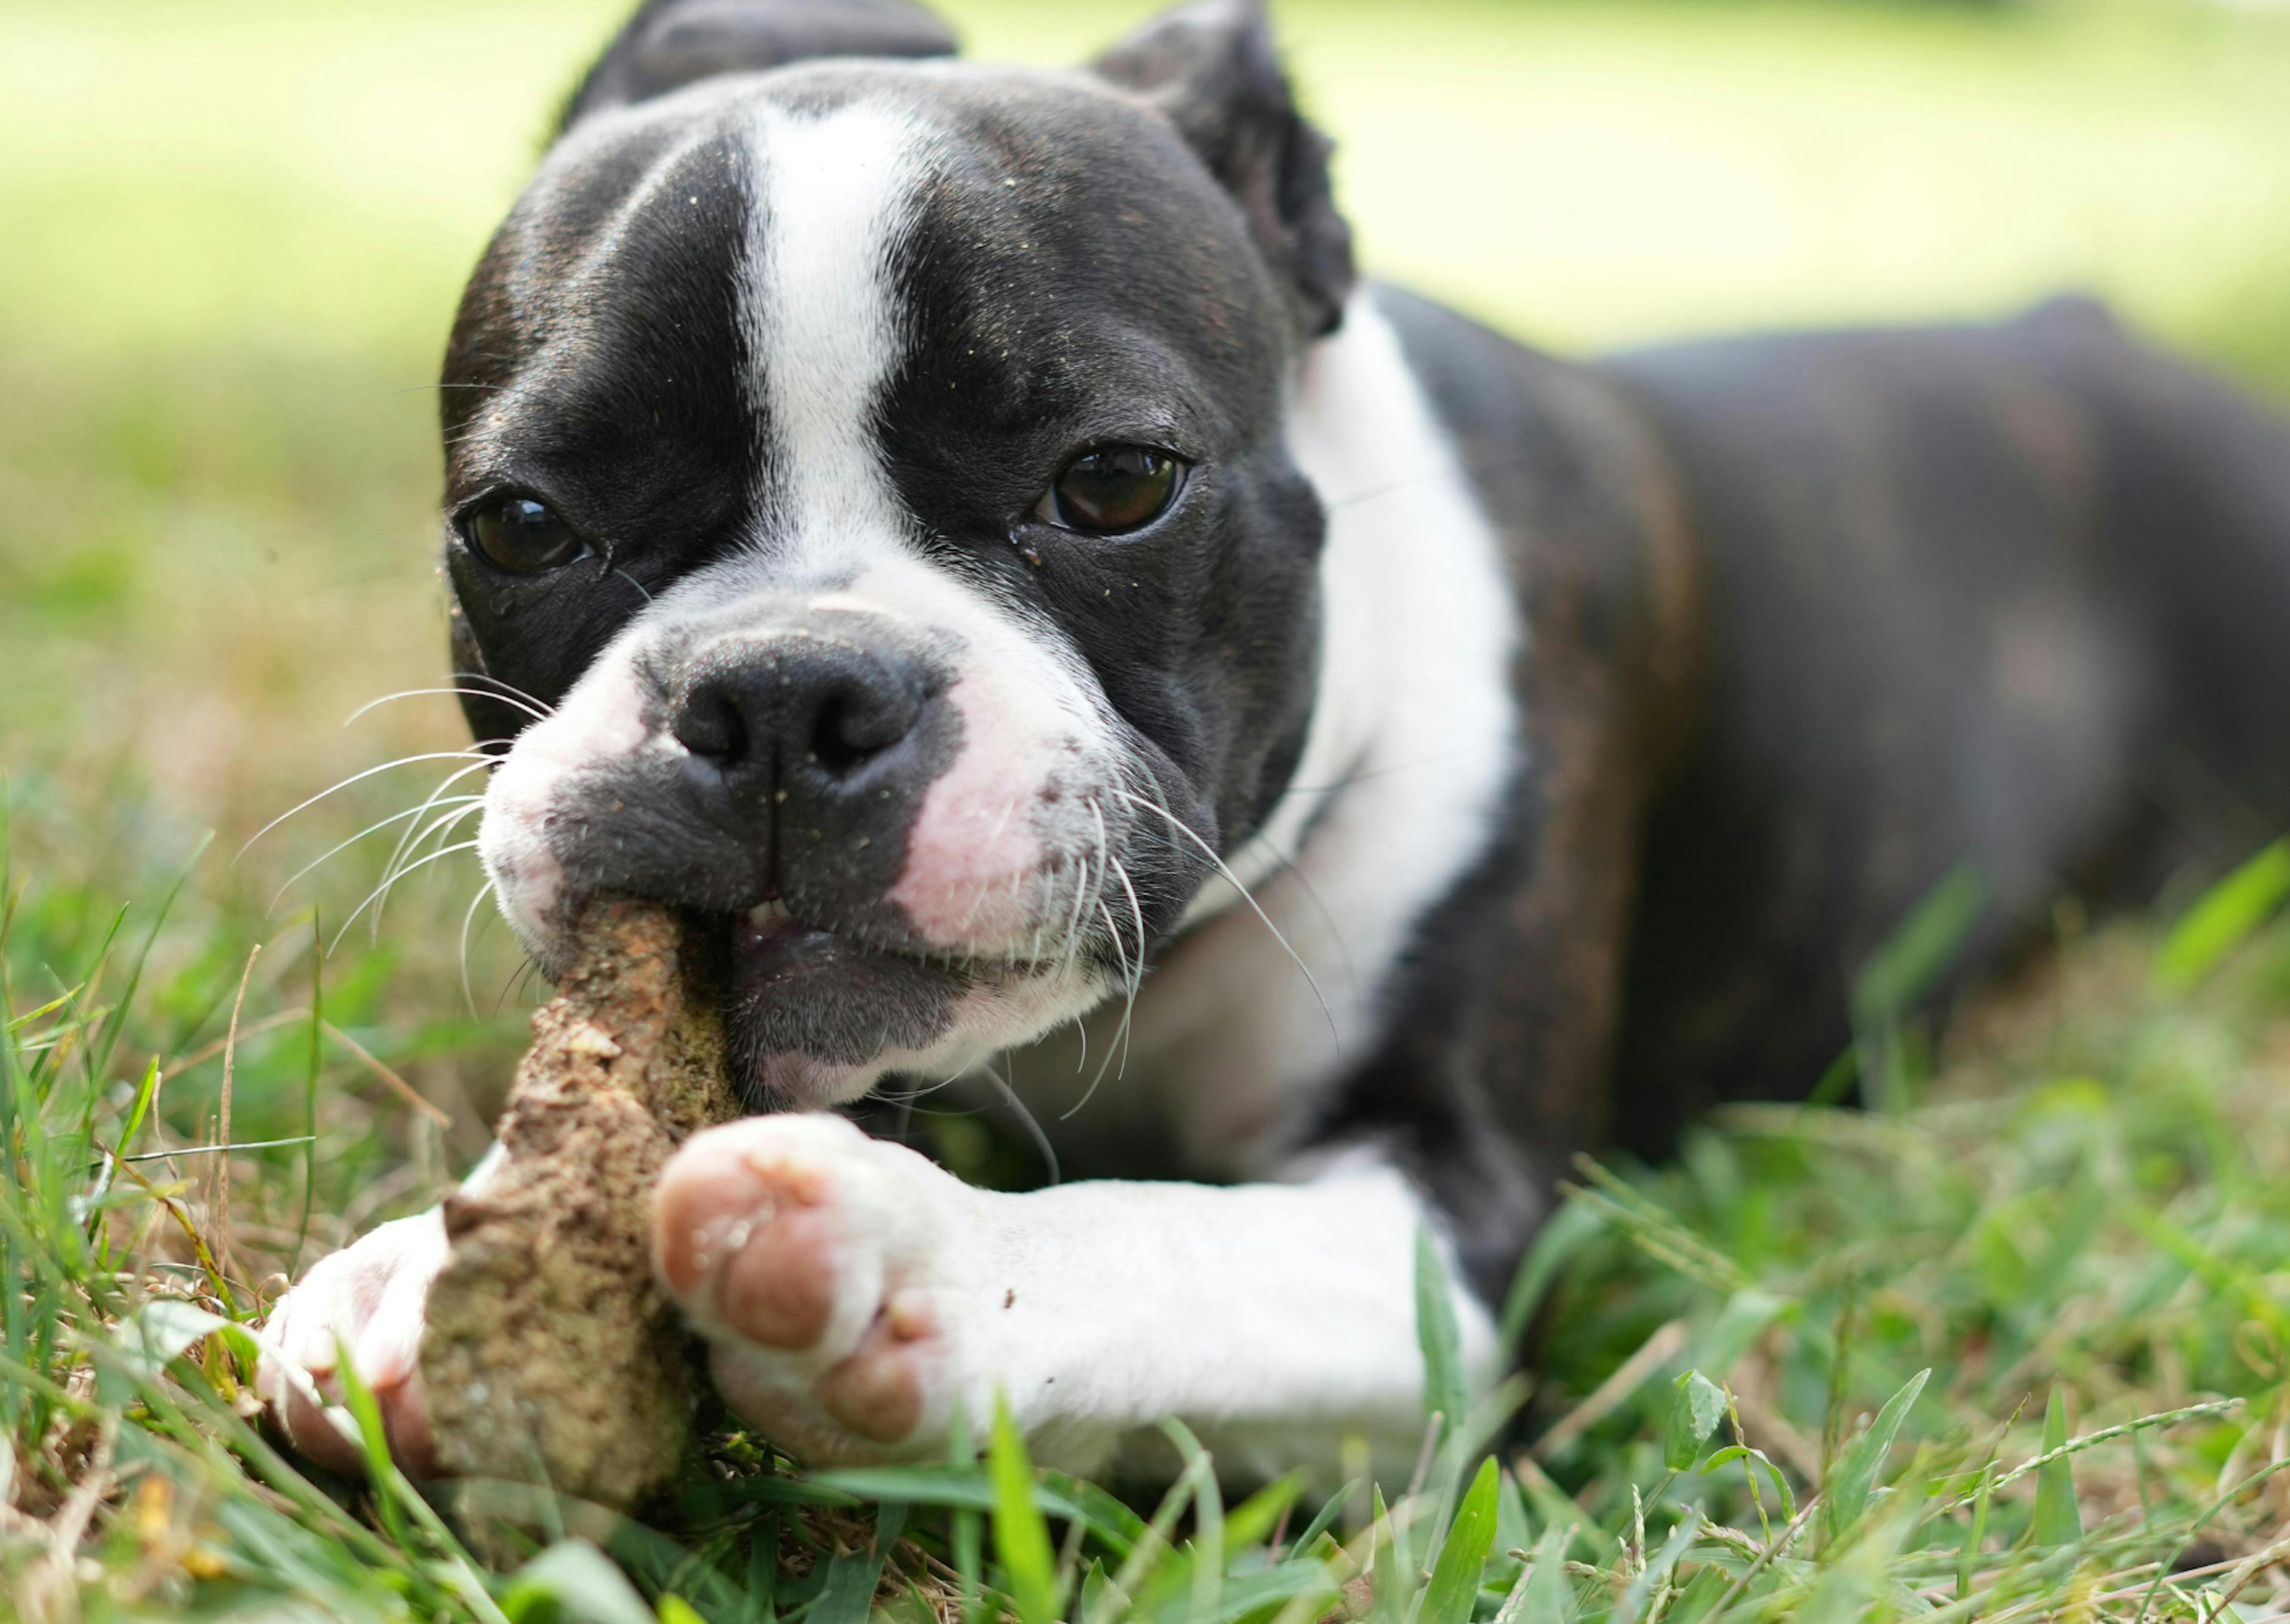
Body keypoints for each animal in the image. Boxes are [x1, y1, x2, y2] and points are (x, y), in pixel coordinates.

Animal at [259, 0, 2290, 1484]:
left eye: (1112, 482)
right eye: (522, 524)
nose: (784, 692)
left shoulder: (1445, 1225)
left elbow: (1170, 1244)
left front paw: (914, 1272)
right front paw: (415, 1268)